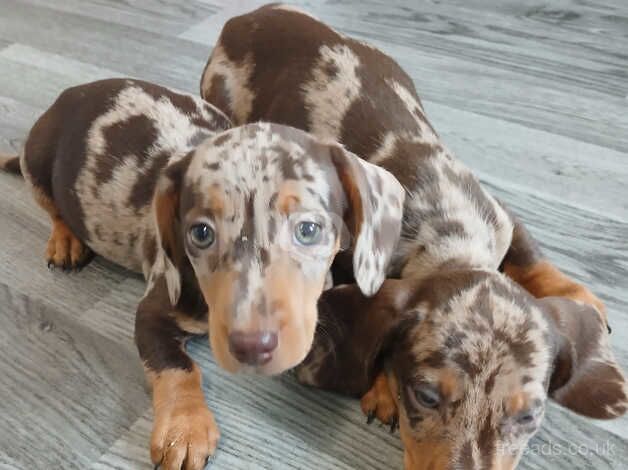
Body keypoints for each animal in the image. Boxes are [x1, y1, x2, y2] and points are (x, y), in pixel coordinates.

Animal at [0, 78, 404, 470]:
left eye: (308, 229)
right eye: (201, 233)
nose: (251, 346)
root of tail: (72, 94)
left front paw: (386, 381)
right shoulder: (154, 311)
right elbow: (179, 367)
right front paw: (184, 427)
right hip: (38, 159)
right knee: (51, 206)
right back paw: (64, 239)